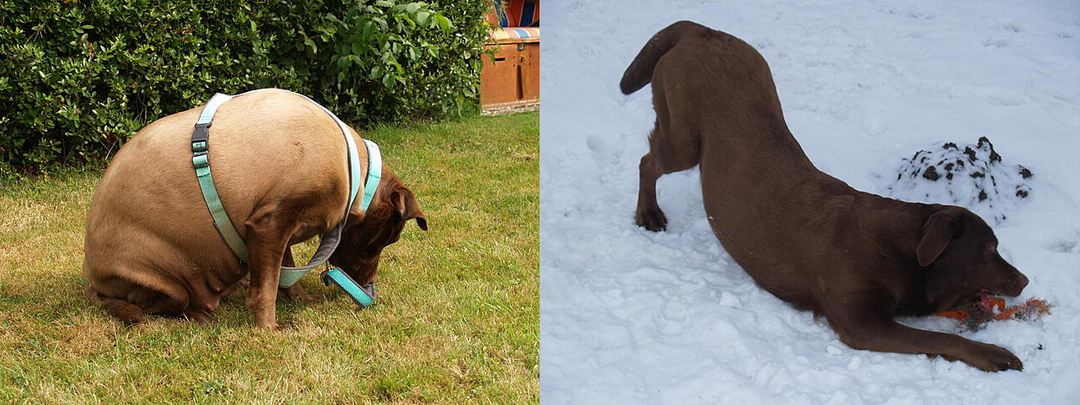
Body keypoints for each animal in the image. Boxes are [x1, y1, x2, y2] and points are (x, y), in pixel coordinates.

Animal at [83, 89, 427, 328]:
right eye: (386, 240)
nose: (367, 286)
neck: (355, 172)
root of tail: (94, 284)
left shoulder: (278, 230)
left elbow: (284, 278)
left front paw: (300, 299)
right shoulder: (270, 225)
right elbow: (268, 289)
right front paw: (268, 328)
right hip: (163, 282)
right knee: (160, 307)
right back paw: (198, 312)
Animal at [621, 21, 1029, 371]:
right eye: (989, 247)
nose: (1024, 281)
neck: (903, 251)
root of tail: (702, 30)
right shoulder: (862, 322)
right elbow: (940, 339)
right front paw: (995, 354)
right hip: (684, 142)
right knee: (647, 161)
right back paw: (649, 213)